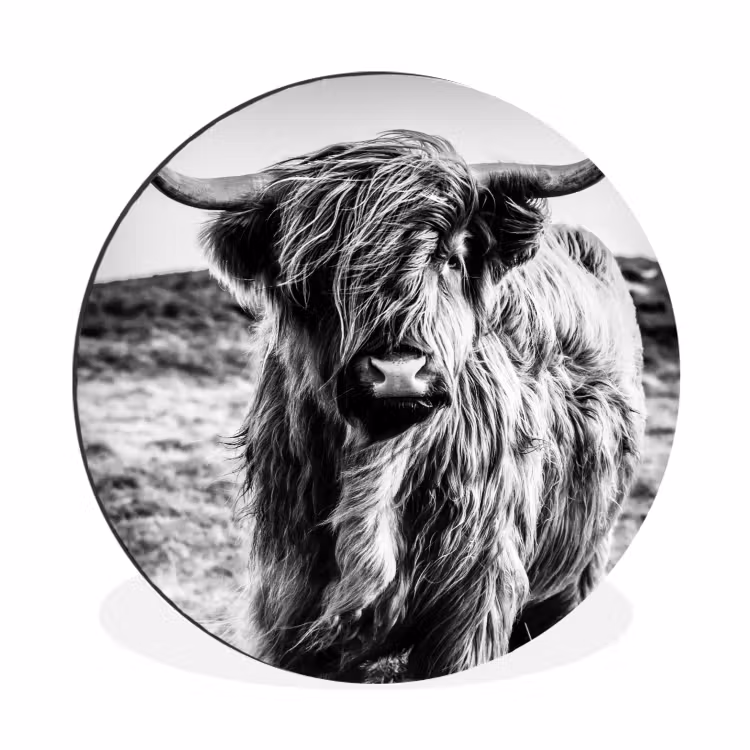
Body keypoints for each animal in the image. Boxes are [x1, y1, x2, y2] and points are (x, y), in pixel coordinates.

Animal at [153, 130, 646, 682]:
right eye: (321, 274)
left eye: (450, 259)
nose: (398, 370)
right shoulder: (288, 598)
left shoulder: (476, 595)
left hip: (583, 561)